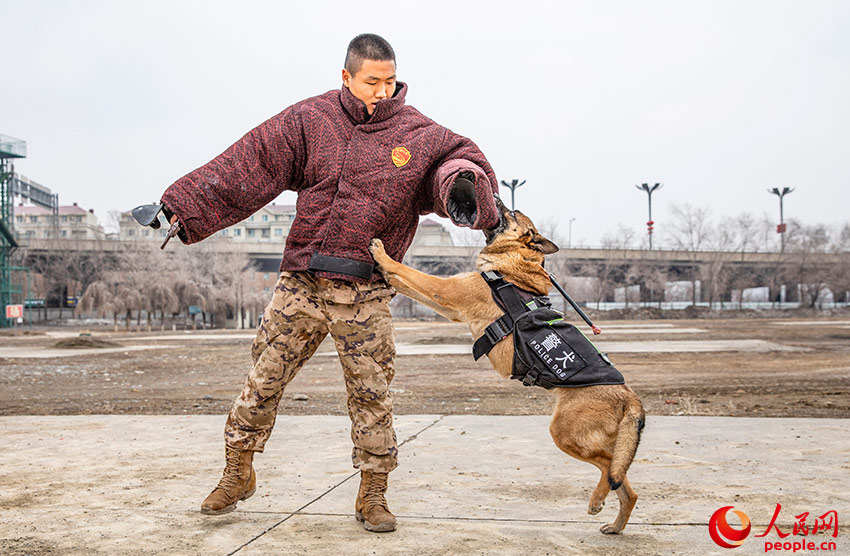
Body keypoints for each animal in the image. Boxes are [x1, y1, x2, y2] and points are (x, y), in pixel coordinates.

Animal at [370, 201, 644, 536]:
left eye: (512, 215)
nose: (500, 200)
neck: (512, 261)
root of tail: (630, 397)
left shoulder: (447, 290)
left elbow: (411, 273)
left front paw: (383, 255)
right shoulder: (448, 302)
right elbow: (406, 282)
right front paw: (383, 271)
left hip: (564, 433)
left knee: (608, 467)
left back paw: (596, 500)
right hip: (594, 443)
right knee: (624, 483)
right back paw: (615, 525)